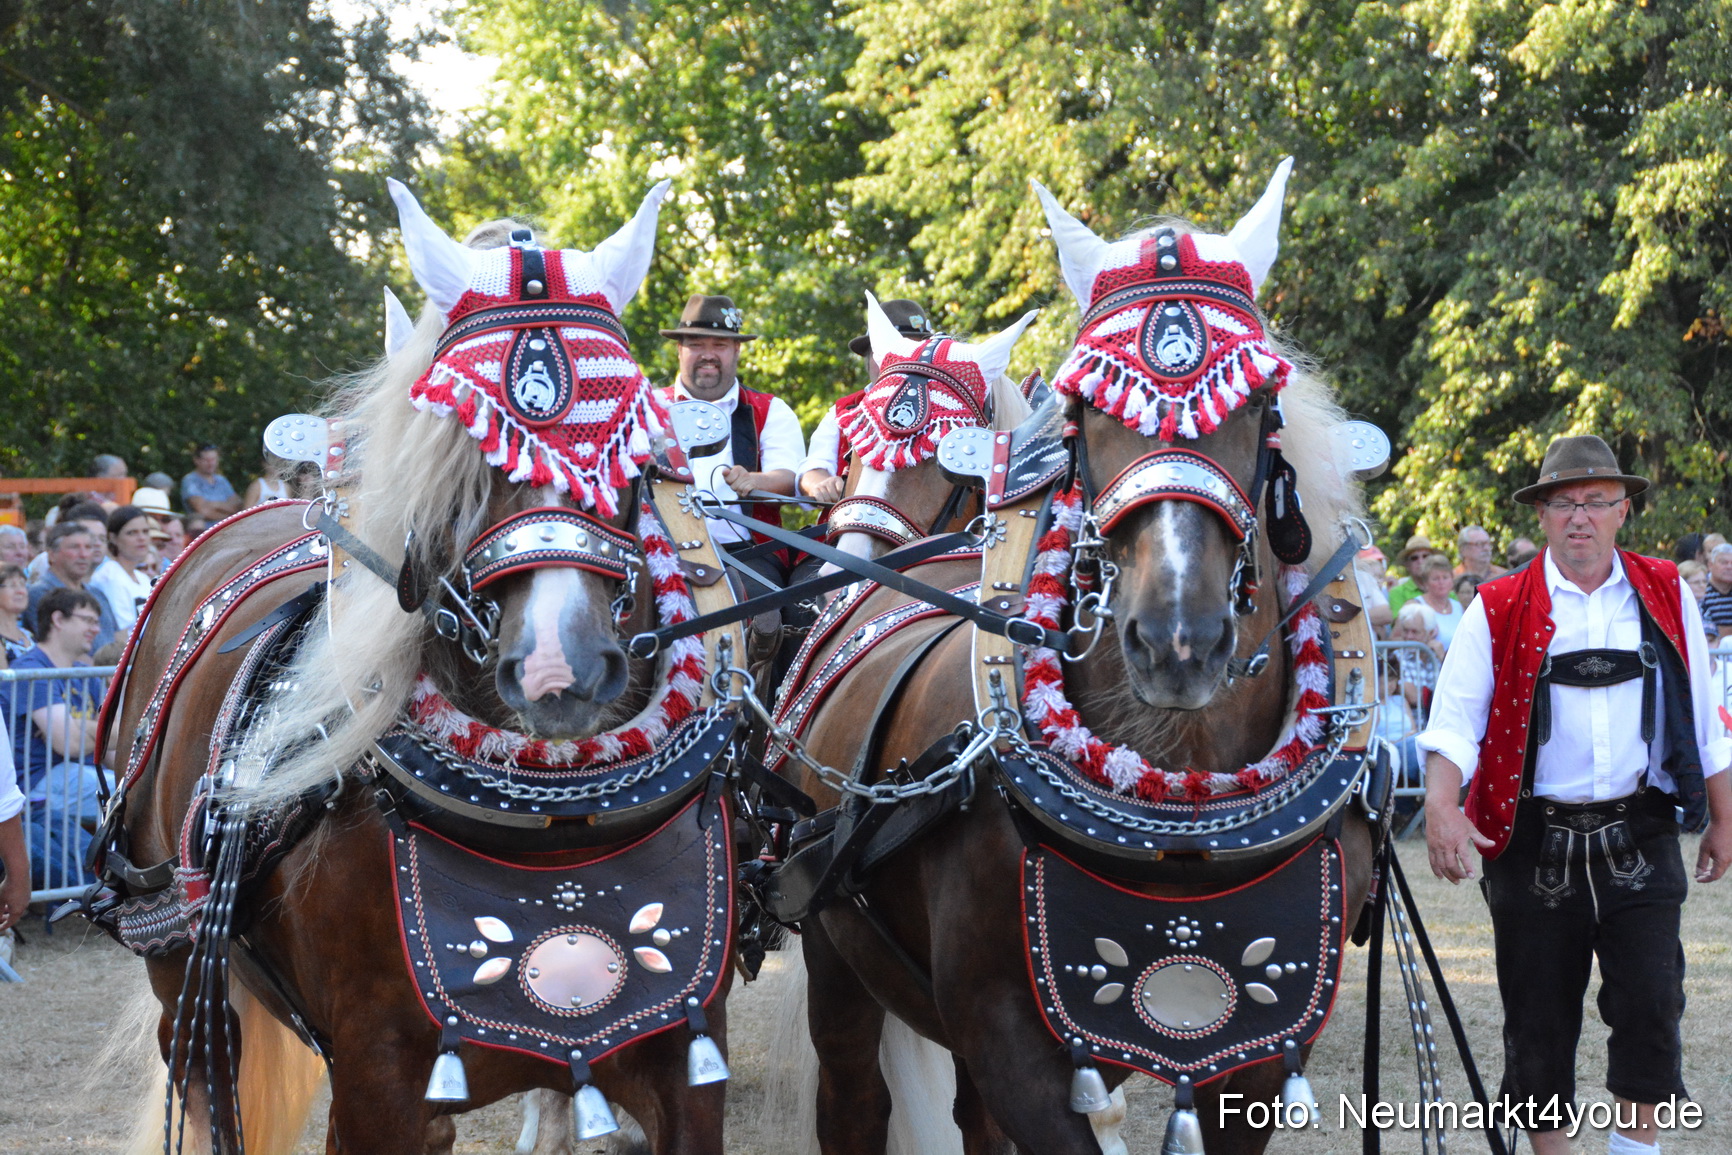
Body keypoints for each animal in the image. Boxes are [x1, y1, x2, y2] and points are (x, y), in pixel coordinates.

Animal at [91, 179, 748, 1154]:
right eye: (464, 451)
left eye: (628, 444)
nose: (559, 671)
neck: (557, 823)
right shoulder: (375, 1080)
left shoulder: (685, 1053)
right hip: (182, 971)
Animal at [767, 162, 1382, 1154]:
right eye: (1088, 407)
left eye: (1258, 405)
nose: (1179, 639)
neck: (1179, 813)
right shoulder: (1012, 1035)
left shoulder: (1257, 1040)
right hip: (835, 957)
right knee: (855, 1099)